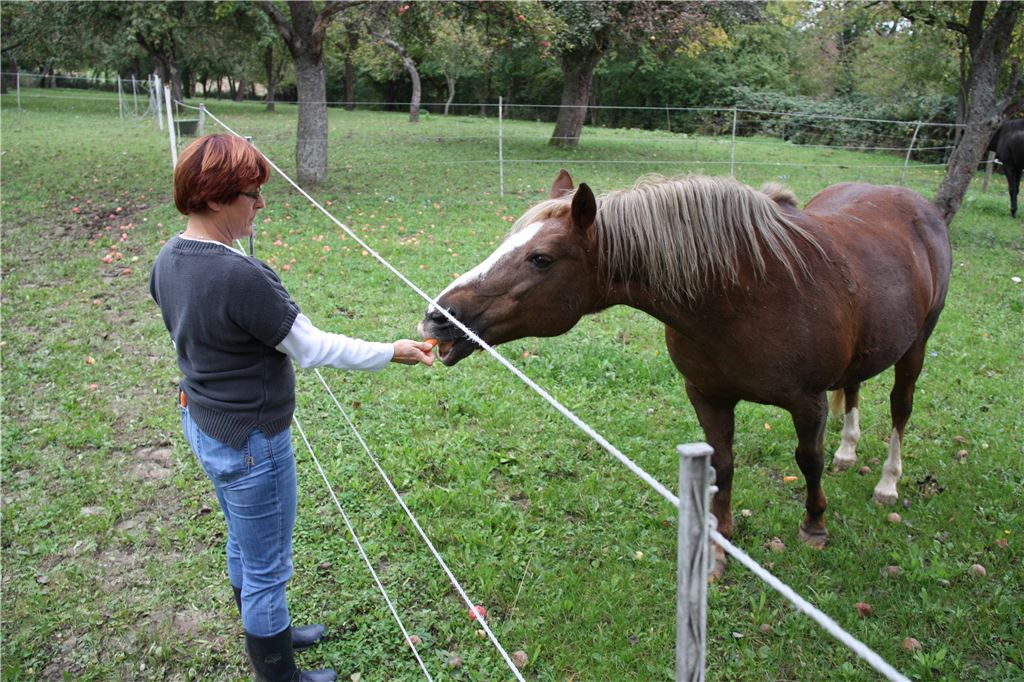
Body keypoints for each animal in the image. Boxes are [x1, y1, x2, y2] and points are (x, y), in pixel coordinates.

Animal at [418, 171, 951, 578]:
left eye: (541, 258)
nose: (438, 317)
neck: (746, 294)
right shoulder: (708, 396)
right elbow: (722, 467)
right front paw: (718, 551)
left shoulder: (808, 401)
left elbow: (807, 460)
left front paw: (814, 526)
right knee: (855, 387)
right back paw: (848, 451)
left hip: (916, 347)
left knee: (900, 408)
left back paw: (887, 483)